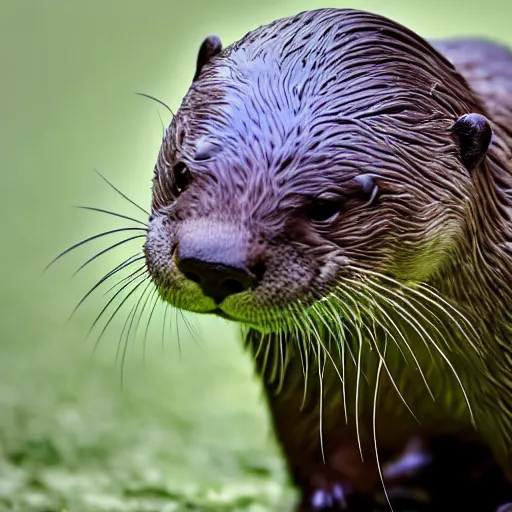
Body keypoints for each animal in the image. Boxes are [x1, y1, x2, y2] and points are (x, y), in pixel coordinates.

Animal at [142, 8, 512, 512]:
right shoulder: (305, 383)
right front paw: (334, 495)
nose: (214, 265)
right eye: (181, 172)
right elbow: (321, 443)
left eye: (325, 206)